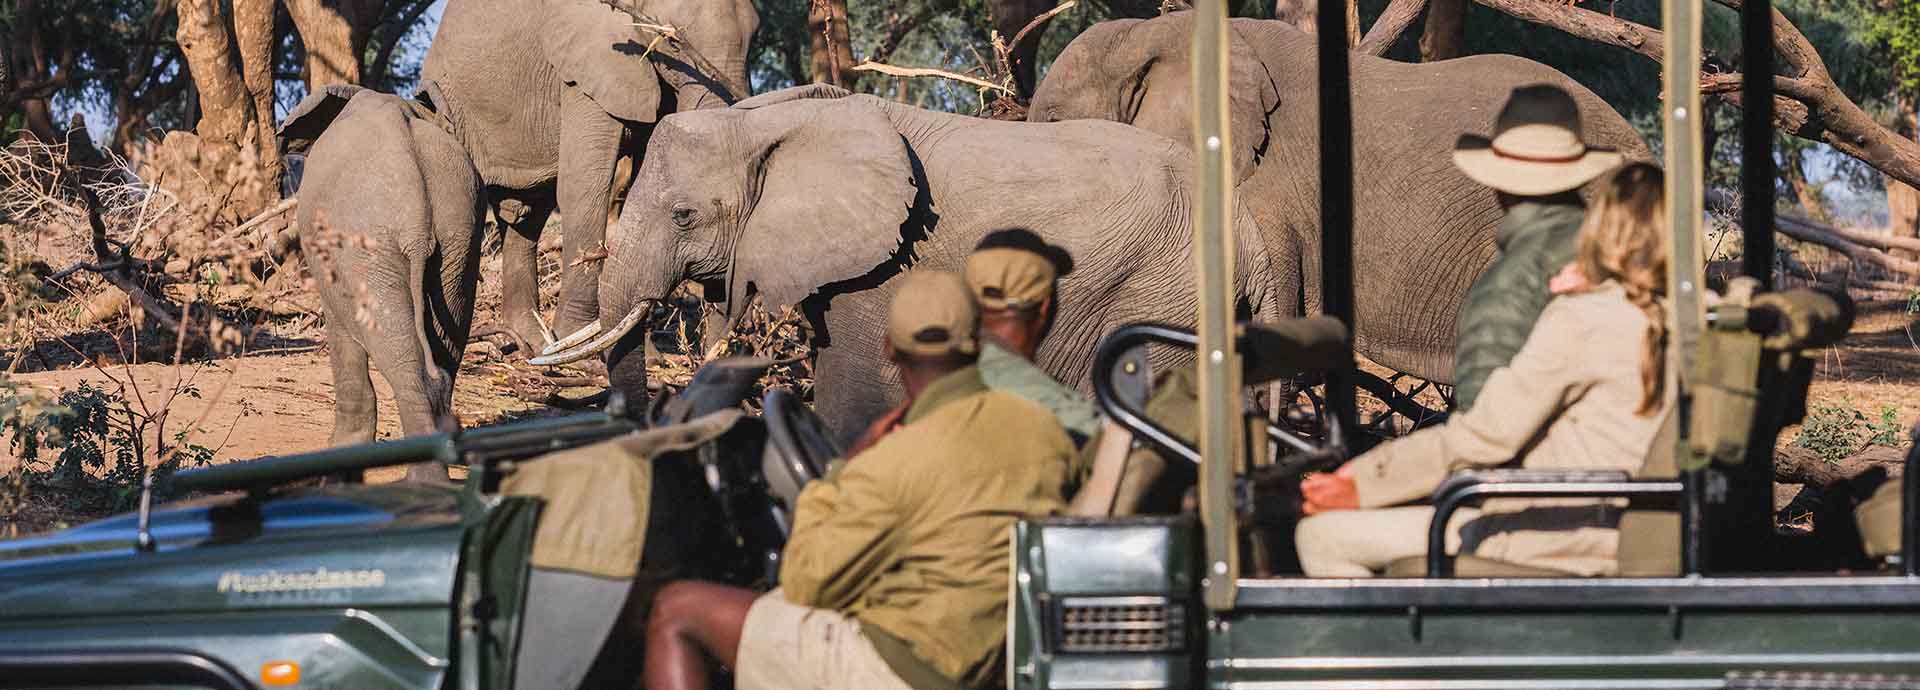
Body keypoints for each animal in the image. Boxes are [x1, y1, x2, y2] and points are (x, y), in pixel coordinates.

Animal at [421, 0, 758, 349]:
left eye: (756, 39)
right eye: (672, 42)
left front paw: (642, 352)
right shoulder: (589, 67)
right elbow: (582, 184)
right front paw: (582, 344)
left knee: (527, 213)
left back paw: (533, 341)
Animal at [535, 85, 1282, 443]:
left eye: (684, 215)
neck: (772, 120)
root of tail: (1250, 235)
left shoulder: (891, 259)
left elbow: (856, 379)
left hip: (1163, 292)